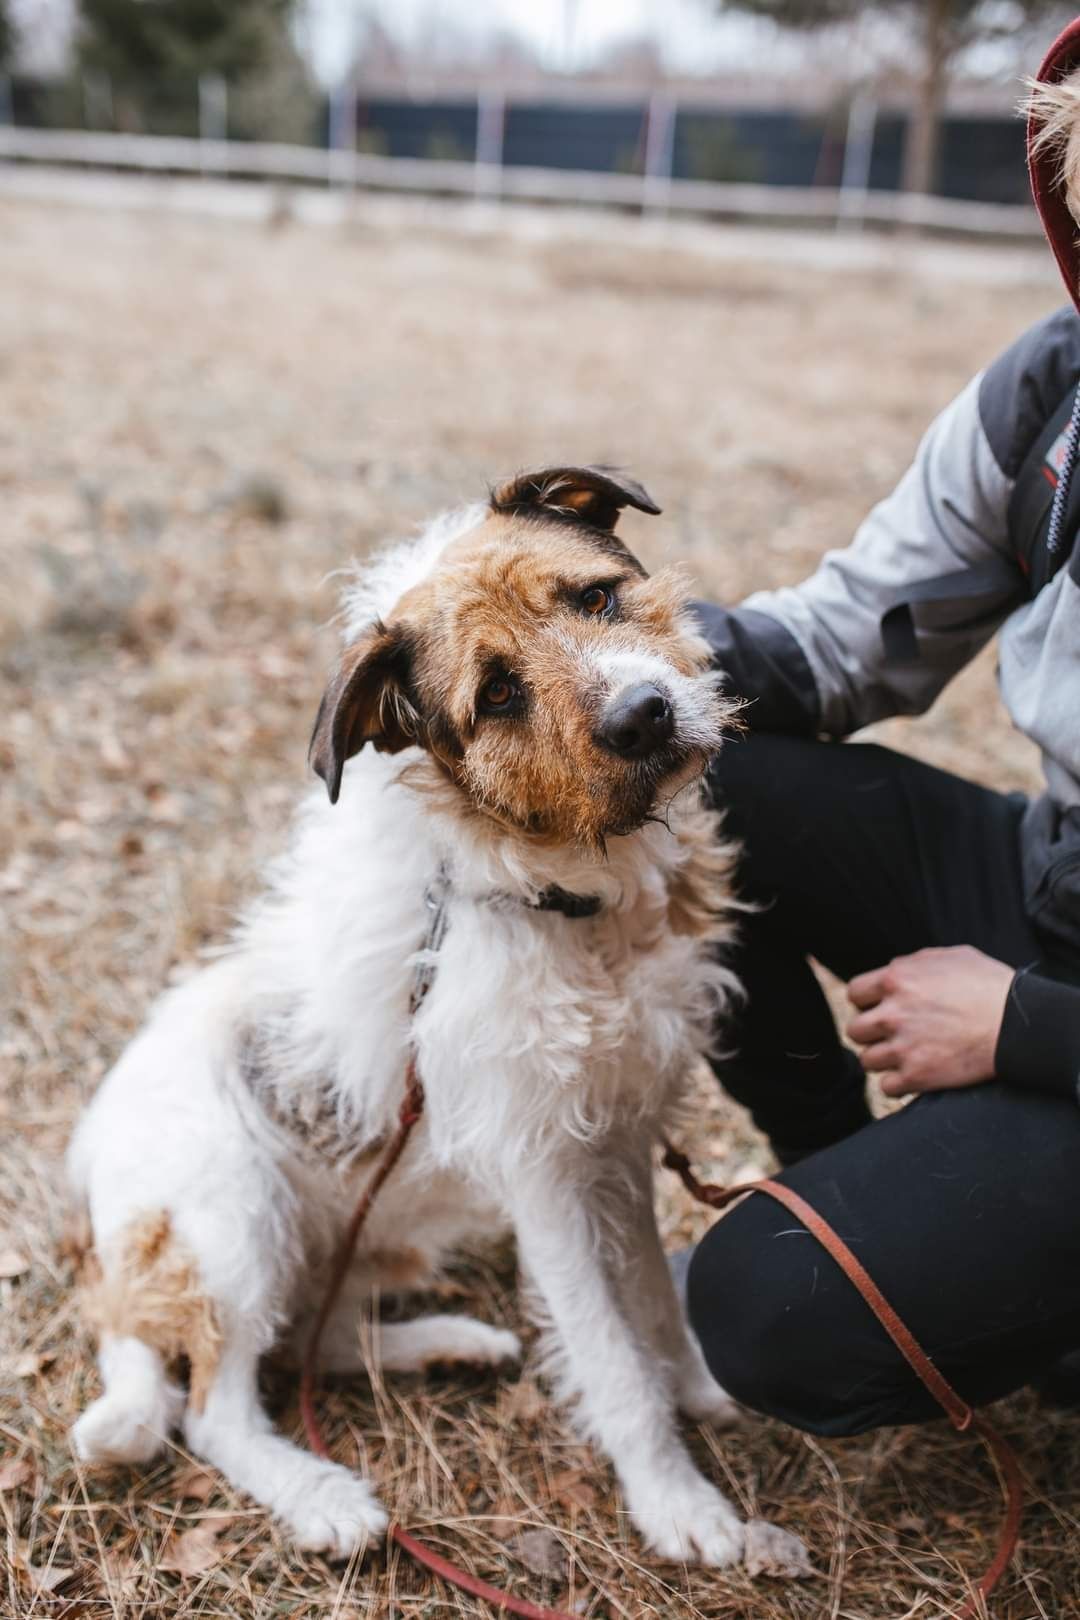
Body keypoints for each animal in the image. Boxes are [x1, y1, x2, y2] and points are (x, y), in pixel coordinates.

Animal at [67, 466, 790, 1568]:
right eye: (496, 695)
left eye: (594, 599)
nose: (644, 715)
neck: (563, 900)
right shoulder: (546, 1179)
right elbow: (613, 1360)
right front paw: (682, 1506)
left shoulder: (619, 1146)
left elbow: (654, 1306)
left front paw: (703, 1391)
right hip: (235, 1223)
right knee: (218, 1409)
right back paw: (324, 1499)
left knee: (315, 1341)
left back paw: (449, 1346)